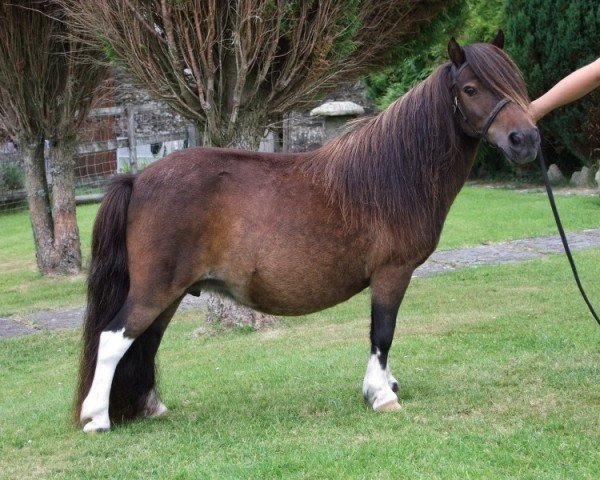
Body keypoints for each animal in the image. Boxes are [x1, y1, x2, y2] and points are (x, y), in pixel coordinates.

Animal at [75, 33, 540, 432]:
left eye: (515, 81)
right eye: (471, 89)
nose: (526, 139)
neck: (395, 171)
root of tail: (138, 179)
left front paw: (386, 385)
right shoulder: (392, 272)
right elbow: (382, 332)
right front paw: (381, 395)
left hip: (170, 293)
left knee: (146, 342)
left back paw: (151, 407)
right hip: (155, 289)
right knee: (114, 338)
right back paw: (97, 418)